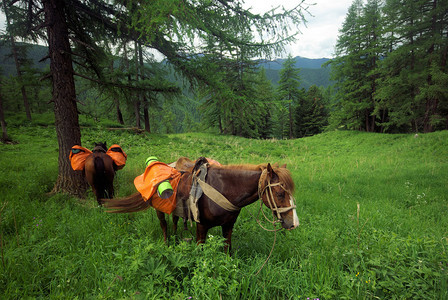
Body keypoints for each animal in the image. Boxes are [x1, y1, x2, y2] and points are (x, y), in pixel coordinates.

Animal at [103, 158, 300, 252]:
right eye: (280, 193)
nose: (294, 224)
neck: (223, 188)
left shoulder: (228, 226)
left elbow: (227, 250)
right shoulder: (201, 227)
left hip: (176, 210)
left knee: (175, 222)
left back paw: (177, 239)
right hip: (159, 209)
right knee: (164, 225)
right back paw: (167, 244)